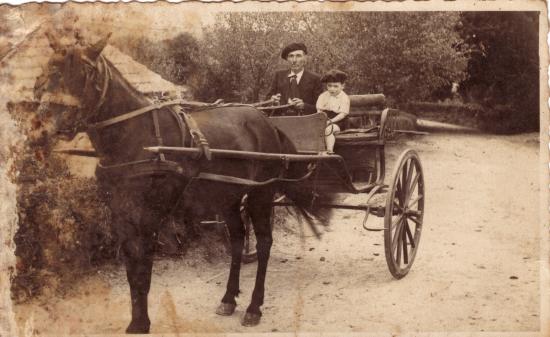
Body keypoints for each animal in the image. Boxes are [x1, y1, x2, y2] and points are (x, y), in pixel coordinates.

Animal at [33, 32, 328, 334]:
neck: (139, 138)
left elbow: (143, 269)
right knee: (237, 239)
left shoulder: (149, 214)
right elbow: (131, 269)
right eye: (48, 69)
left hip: (261, 194)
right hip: (228, 196)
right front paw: (136, 321)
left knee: (265, 243)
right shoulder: (121, 214)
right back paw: (228, 299)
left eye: (86, 71)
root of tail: (267, 121)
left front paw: (141, 323)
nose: (44, 126)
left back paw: (254, 308)